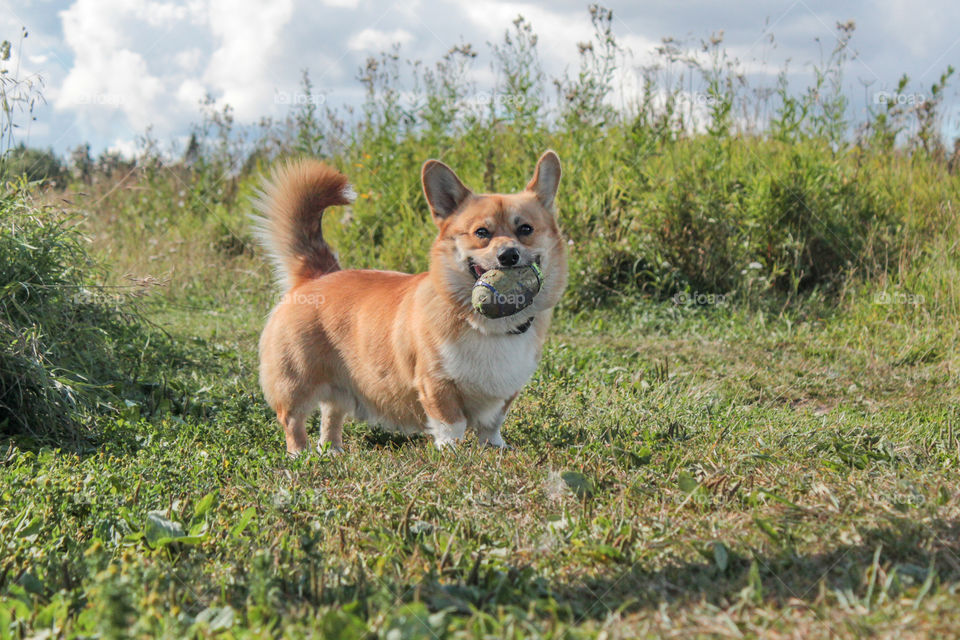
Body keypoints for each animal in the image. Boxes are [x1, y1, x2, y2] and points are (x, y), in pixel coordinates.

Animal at [255, 150, 568, 452]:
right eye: (482, 232)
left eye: (526, 229)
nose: (508, 255)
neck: (487, 325)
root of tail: (316, 275)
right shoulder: (436, 384)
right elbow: (451, 425)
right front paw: (453, 454)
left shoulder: (505, 391)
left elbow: (492, 424)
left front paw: (495, 448)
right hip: (295, 383)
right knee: (293, 421)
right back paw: (301, 456)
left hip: (341, 387)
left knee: (331, 414)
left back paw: (331, 451)